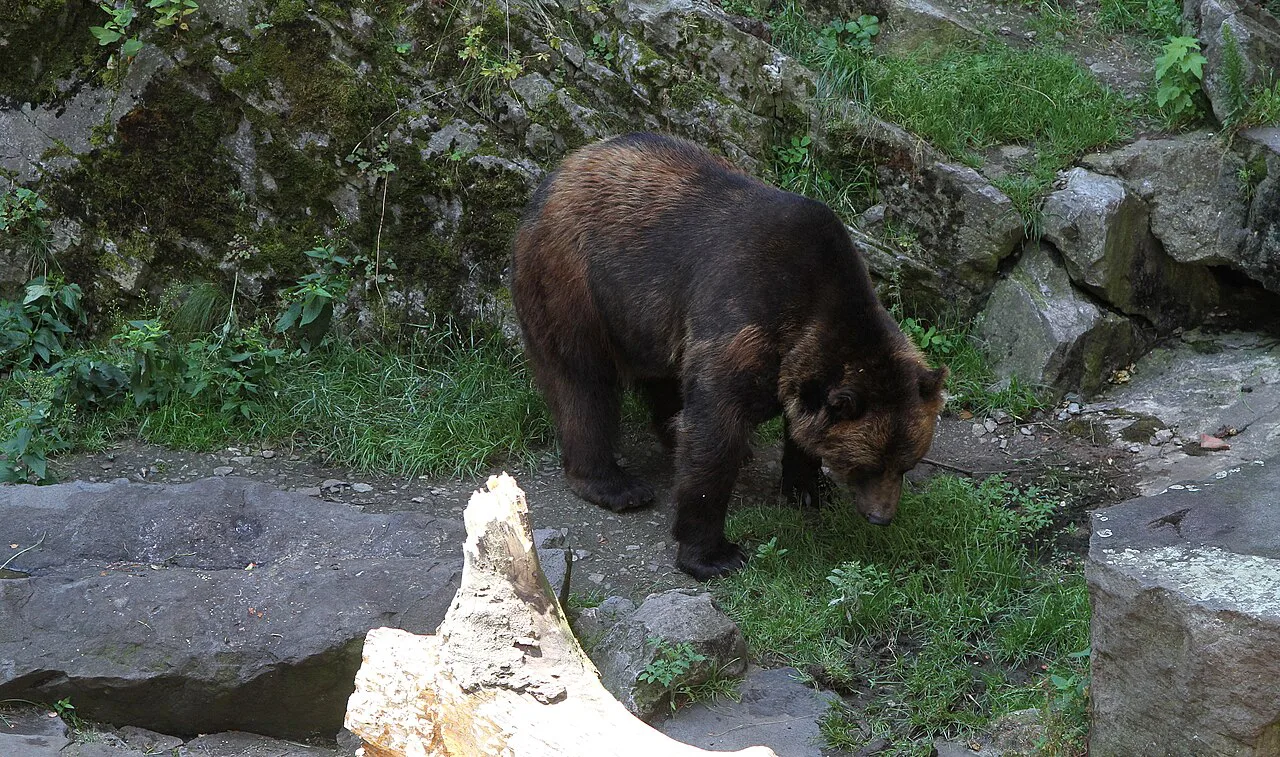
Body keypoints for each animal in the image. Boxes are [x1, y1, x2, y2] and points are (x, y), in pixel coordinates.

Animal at [511, 132, 947, 580]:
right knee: (583, 382)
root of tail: (555, 178)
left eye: (907, 463)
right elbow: (713, 432)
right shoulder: (741, 318)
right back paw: (615, 485)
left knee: (662, 383)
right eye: (868, 464)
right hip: (576, 282)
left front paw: (808, 488)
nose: (882, 516)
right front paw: (715, 553)